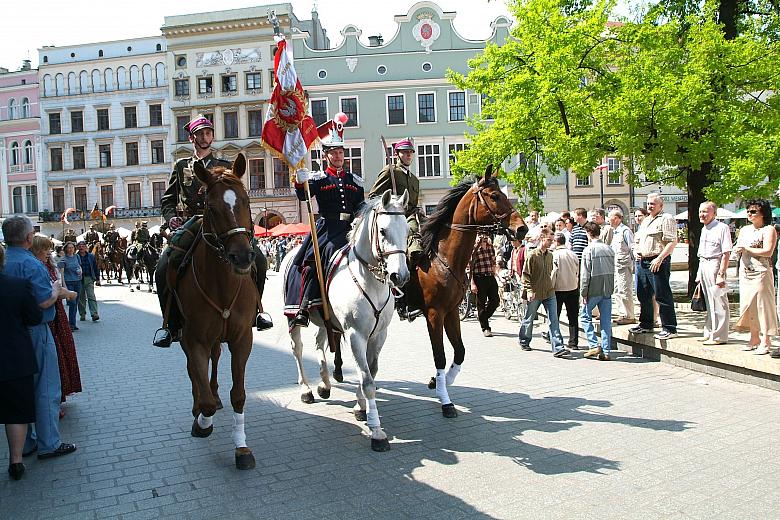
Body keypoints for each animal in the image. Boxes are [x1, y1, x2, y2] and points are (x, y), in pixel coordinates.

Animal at [168, 154, 258, 472]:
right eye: (210, 206)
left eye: (246, 200)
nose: (241, 257)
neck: (222, 286)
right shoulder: (194, 339)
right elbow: (200, 384)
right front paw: (202, 423)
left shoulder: (242, 339)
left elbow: (239, 395)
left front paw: (242, 448)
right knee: (193, 371)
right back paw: (200, 404)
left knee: (215, 361)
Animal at [282, 190, 414, 450]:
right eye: (383, 231)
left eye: (407, 231)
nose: (400, 276)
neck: (370, 282)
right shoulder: (355, 335)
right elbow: (367, 380)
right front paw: (376, 431)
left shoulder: (379, 335)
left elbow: (371, 372)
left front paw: (360, 407)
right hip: (293, 317)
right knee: (298, 349)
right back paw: (306, 389)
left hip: (325, 320)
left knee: (319, 342)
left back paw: (324, 383)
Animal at [412, 167, 528, 418]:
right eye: (494, 196)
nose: (522, 228)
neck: (441, 259)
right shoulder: (434, 315)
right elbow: (440, 355)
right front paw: (445, 401)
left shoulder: (451, 312)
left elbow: (460, 352)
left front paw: (438, 383)